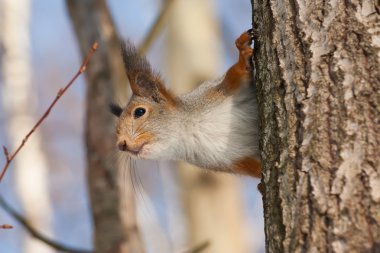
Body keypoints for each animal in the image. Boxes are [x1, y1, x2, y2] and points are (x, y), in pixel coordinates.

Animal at [108, 30, 260, 178]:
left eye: (139, 112)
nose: (121, 145)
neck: (189, 131)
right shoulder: (237, 161)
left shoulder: (220, 90)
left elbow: (236, 73)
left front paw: (242, 52)